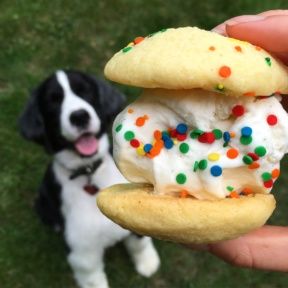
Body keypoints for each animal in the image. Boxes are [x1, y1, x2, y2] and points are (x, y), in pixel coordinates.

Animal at [19, 70, 160, 288]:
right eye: (53, 101)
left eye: (85, 91)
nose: (79, 116)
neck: (89, 172)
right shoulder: (82, 248)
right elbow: (91, 275)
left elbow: (139, 242)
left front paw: (148, 263)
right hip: (40, 201)